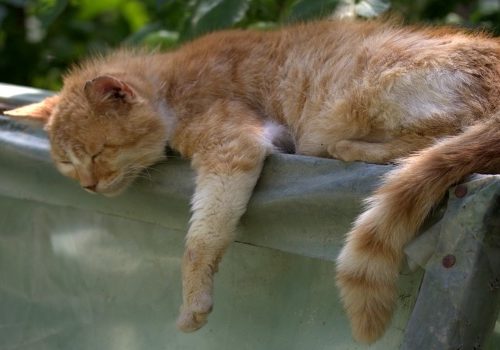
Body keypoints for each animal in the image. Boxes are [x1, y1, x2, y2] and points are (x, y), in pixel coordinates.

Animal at [5, 18, 500, 342]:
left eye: (98, 152)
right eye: (66, 163)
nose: (87, 186)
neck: (171, 85)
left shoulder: (232, 147)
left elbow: (200, 240)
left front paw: (194, 302)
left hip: (364, 93)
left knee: (434, 139)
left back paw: (346, 148)